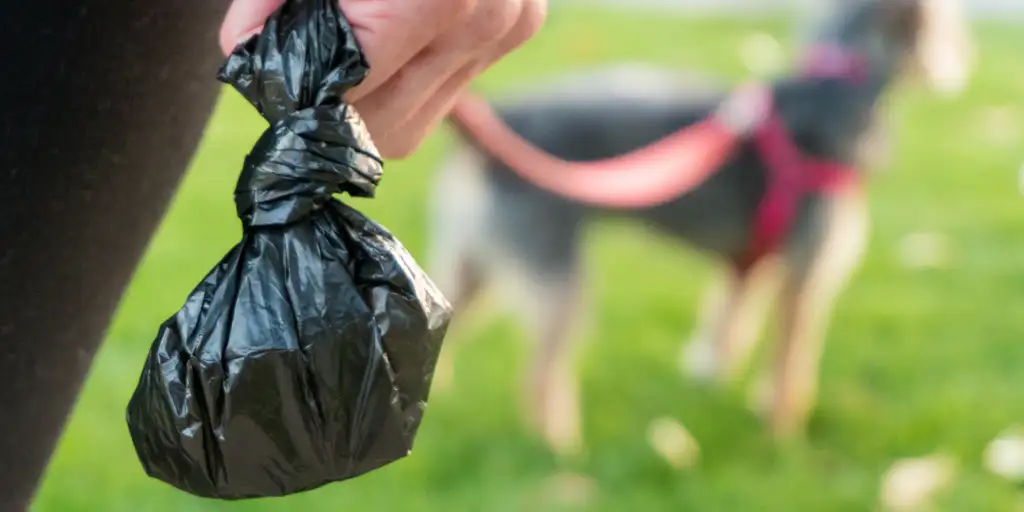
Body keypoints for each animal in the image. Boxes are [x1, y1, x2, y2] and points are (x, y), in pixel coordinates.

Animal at [428, 0, 970, 454]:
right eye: (949, 23)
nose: (964, 58)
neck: (835, 87)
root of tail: (500, 121)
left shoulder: (747, 265)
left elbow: (729, 326)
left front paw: (715, 380)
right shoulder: (804, 272)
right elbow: (791, 361)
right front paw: (782, 433)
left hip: (473, 262)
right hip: (555, 270)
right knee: (539, 376)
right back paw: (560, 448)